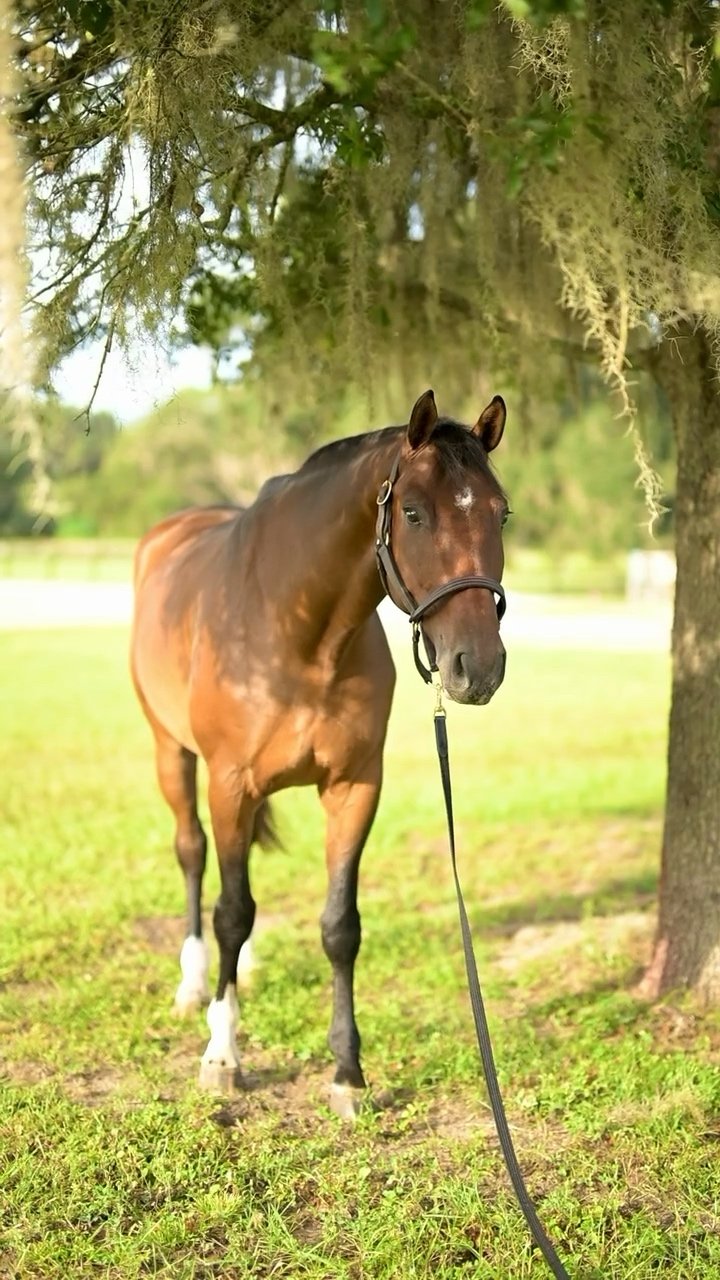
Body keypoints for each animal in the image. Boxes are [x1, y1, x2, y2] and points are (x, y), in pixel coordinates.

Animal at [130, 388, 509, 1117]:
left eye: (501, 511)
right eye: (413, 512)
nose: (476, 667)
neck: (297, 631)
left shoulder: (355, 787)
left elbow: (339, 926)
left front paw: (347, 1072)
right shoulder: (229, 783)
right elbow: (230, 912)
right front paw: (223, 1055)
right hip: (171, 754)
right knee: (193, 855)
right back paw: (196, 985)